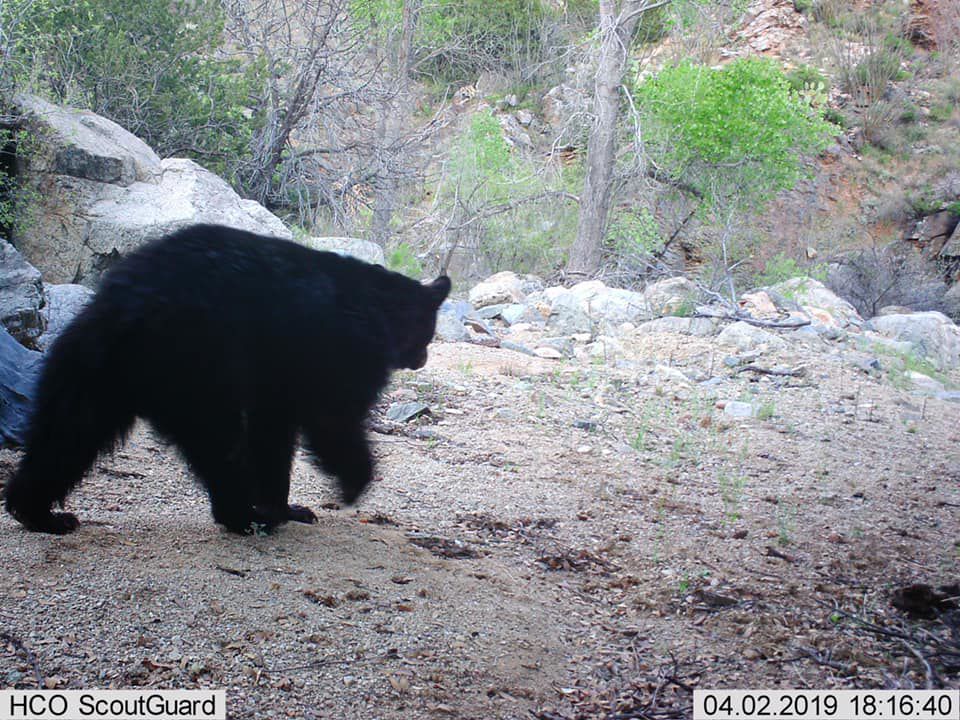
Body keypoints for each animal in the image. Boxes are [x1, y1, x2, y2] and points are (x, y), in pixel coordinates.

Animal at [1, 225, 452, 536]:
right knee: (216, 439)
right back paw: (241, 516)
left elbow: (274, 435)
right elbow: (332, 419)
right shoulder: (341, 354)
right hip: (197, 363)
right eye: (429, 333)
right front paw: (351, 484)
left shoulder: (279, 380)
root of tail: (126, 305)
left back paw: (38, 512)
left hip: (93, 365)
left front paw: (287, 507)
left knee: (69, 432)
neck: (379, 305)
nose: (423, 358)